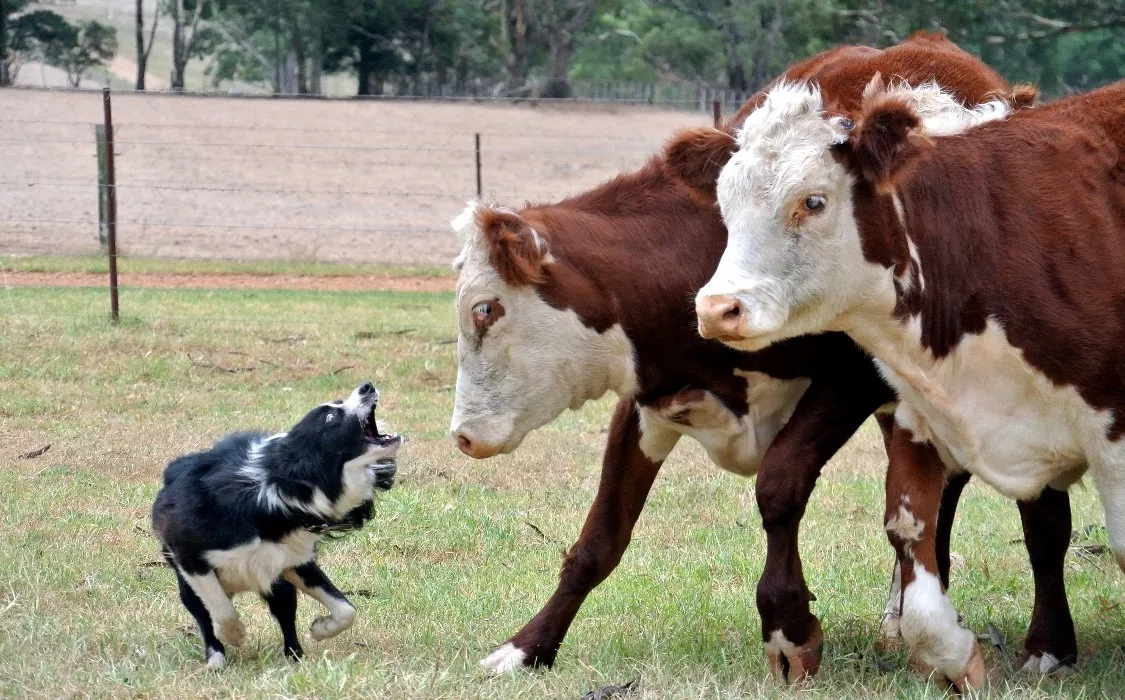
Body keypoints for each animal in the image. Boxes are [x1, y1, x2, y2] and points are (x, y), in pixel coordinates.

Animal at [152, 382, 402, 668]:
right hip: (189, 583)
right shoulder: (189, 550)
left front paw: (320, 628)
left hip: (277, 583)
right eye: (330, 417)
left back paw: (295, 657)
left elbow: (346, 609)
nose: (367, 386)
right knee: (204, 612)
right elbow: (220, 608)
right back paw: (216, 659)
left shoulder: (293, 558)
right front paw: (234, 634)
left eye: (338, 402)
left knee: (286, 612)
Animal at [451, 33, 1074, 684]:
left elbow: (779, 485)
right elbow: (601, 537)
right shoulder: (648, 401)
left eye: (485, 309)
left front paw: (789, 628)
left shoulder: (848, 380)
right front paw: (528, 647)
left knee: (1041, 519)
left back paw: (1047, 645)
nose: (462, 435)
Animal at [694, 75, 1125, 689]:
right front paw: (956, 655)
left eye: (813, 201)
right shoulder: (923, 412)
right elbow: (910, 528)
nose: (716, 309)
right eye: (726, 205)